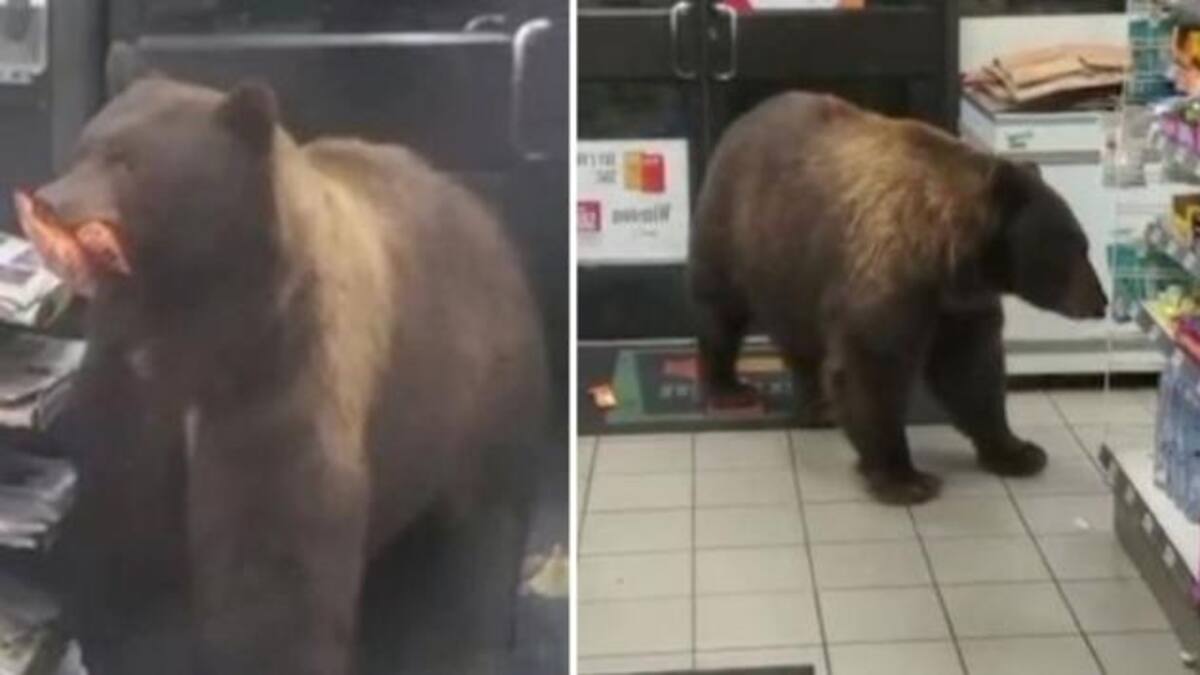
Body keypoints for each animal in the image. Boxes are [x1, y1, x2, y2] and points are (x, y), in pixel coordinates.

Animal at [14, 62, 548, 675]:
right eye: (82, 148)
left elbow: (274, 551)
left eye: (127, 161)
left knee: (480, 533)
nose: (49, 202)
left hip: (475, 387)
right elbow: (130, 514)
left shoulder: (283, 369)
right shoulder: (133, 379)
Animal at [689, 91, 1107, 505]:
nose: (1100, 301)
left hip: (792, 270)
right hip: (735, 233)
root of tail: (743, 120)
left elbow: (972, 370)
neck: (948, 255)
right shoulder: (890, 279)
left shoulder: (960, 305)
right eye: (1074, 245)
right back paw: (730, 388)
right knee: (720, 311)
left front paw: (1018, 451)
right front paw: (905, 478)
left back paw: (817, 404)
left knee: (800, 340)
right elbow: (873, 365)